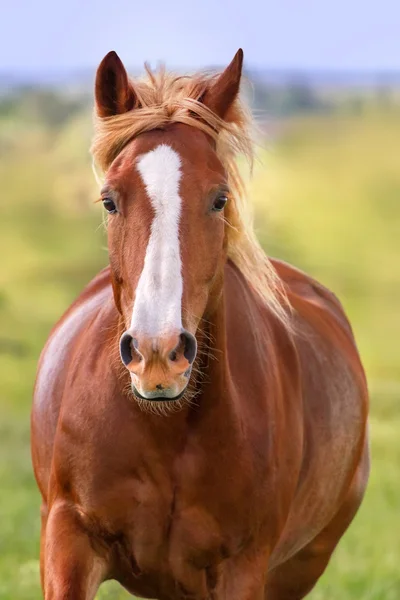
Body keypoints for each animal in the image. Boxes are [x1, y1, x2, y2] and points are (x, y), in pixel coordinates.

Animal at [30, 49, 368, 596]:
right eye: (109, 199)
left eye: (219, 198)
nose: (157, 355)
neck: (164, 430)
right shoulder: (68, 541)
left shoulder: (244, 569)